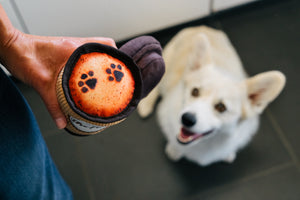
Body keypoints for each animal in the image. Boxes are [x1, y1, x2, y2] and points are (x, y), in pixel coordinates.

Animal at [137, 27, 284, 167]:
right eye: (195, 91)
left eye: (221, 107)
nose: (186, 119)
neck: (205, 143)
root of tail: (200, 26)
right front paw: (174, 151)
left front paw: (228, 154)